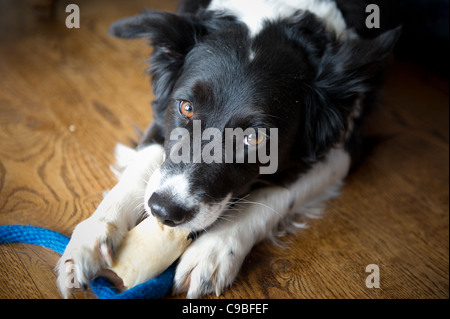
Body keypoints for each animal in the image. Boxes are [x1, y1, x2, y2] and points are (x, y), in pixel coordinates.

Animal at [57, 0, 400, 300]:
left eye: (255, 138)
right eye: (186, 107)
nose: (165, 211)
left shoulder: (342, 150)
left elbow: (274, 195)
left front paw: (213, 251)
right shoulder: (161, 120)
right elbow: (140, 170)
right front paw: (91, 236)